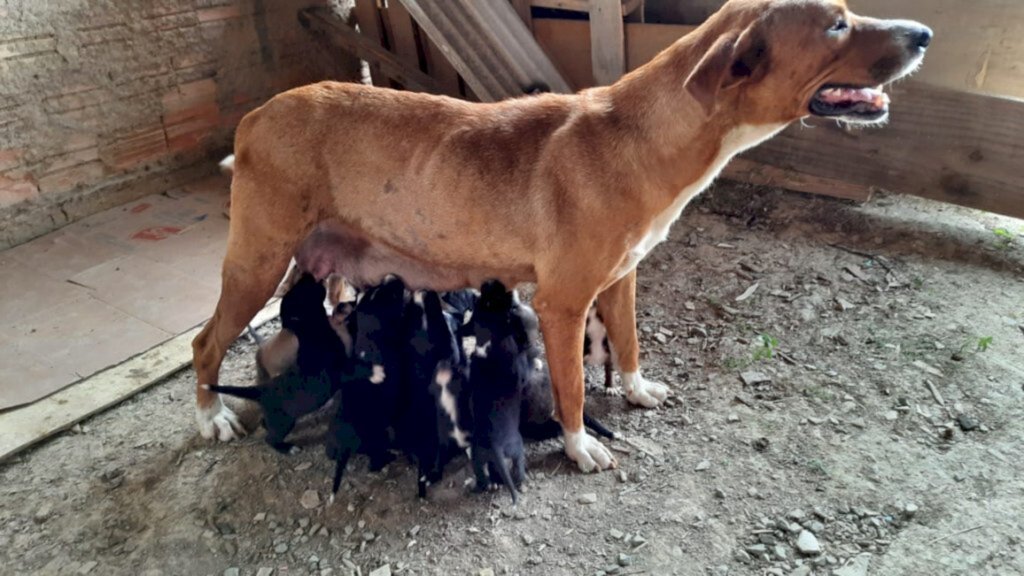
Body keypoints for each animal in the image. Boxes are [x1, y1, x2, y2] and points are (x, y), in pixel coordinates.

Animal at [205, 272, 346, 453]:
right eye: (306, 289)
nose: (308, 274)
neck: (308, 331)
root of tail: (260, 390)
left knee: (265, 423)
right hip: (284, 421)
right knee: (270, 439)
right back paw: (289, 449)